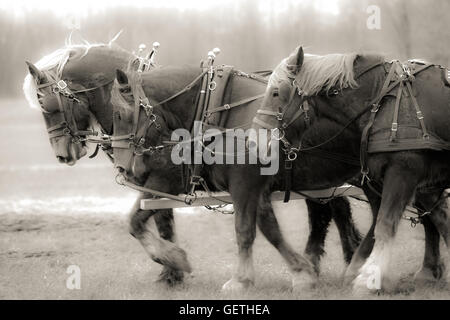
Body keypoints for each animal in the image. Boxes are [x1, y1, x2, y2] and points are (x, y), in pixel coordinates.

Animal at [23, 42, 362, 290]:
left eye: (45, 104)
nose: (62, 155)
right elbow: (159, 221)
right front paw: (171, 270)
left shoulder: (171, 182)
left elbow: (139, 221)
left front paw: (175, 263)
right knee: (329, 211)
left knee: (332, 211)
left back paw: (344, 259)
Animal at [253, 46, 450, 294]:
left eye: (276, 93)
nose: (253, 139)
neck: (381, 101)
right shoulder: (388, 180)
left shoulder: (403, 171)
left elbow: (385, 224)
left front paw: (367, 278)